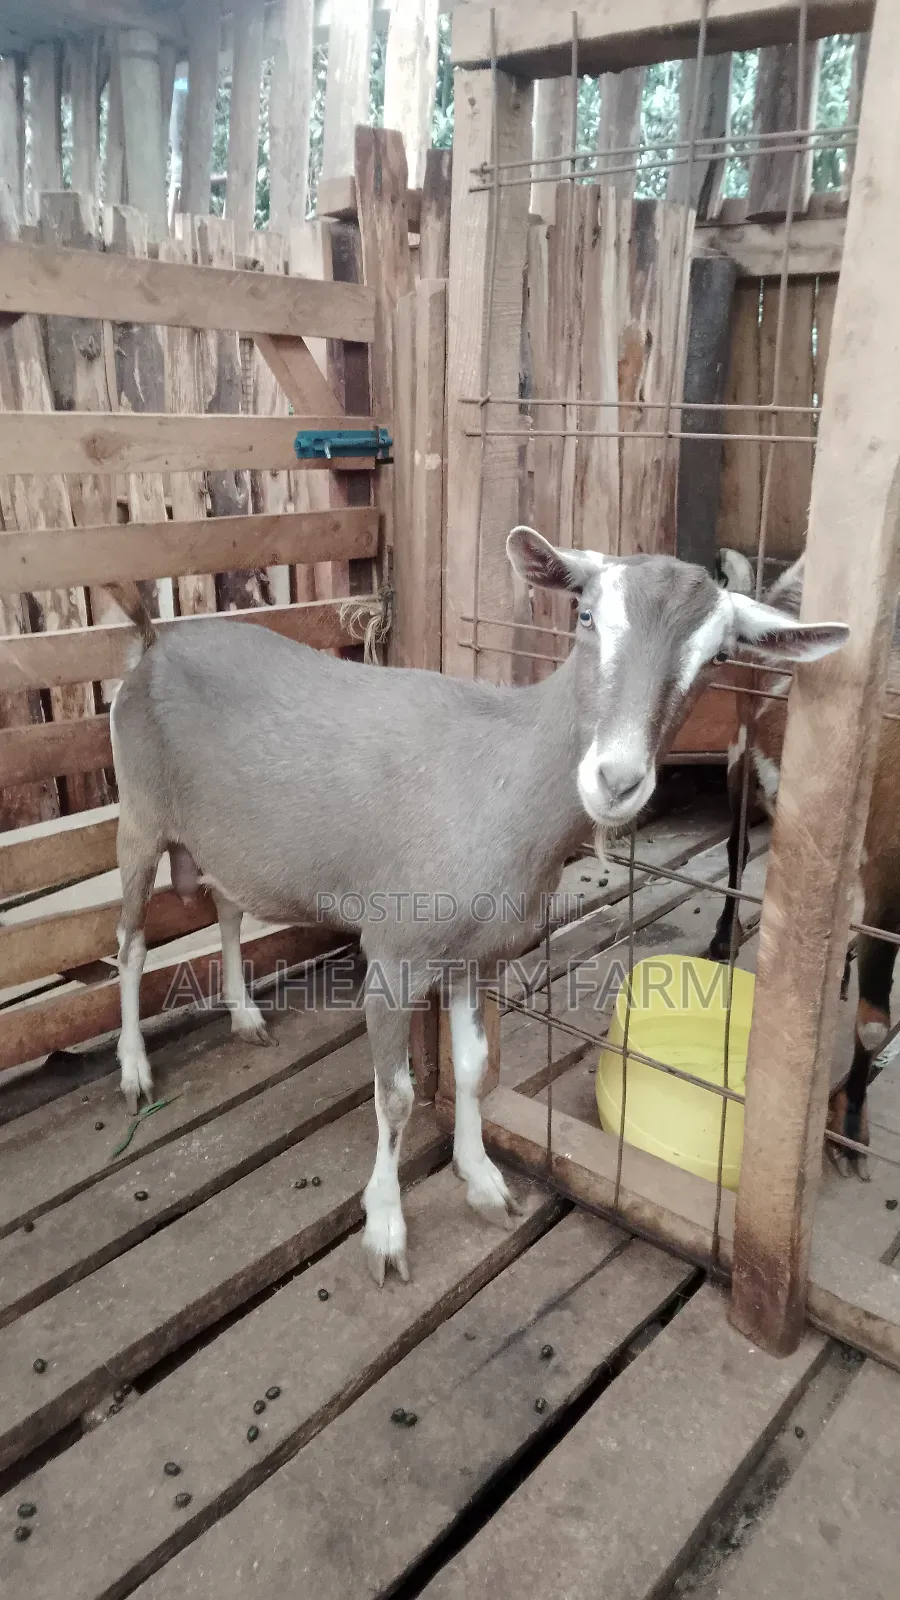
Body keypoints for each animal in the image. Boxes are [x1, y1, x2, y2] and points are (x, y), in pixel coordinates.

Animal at [106, 529, 847, 1283]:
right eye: (585, 616)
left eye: (718, 657)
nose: (616, 780)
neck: (502, 774)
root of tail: (153, 643)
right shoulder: (393, 954)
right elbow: (396, 1096)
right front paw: (386, 1229)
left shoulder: (480, 956)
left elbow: (471, 1067)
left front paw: (483, 1179)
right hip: (137, 810)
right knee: (131, 942)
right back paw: (134, 1070)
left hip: (220, 835)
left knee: (226, 907)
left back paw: (245, 1015)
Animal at [709, 553, 898, 1179]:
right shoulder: (885, 880)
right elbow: (873, 1023)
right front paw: (850, 1130)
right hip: (740, 755)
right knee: (737, 853)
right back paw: (722, 939)